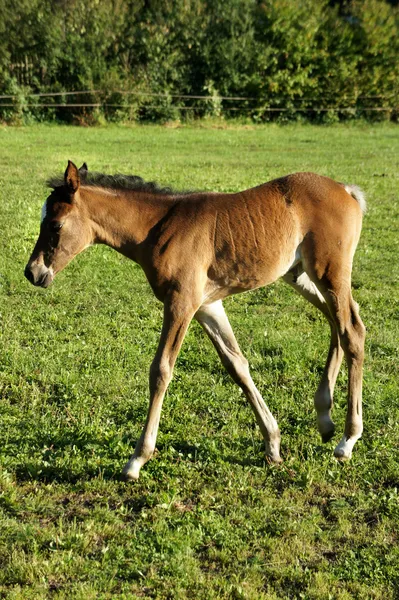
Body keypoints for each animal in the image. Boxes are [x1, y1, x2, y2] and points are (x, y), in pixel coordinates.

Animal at [25, 162, 368, 480]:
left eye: (55, 224)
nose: (33, 272)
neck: (157, 227)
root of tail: (345, 189)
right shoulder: (208, 306)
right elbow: (237, 365)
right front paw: (272, 443)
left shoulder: (181, 303)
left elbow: (161, 371)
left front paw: (137, 459)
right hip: (299, 275)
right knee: (336, 322)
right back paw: (325, 418)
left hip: (329, 273)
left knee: (352, 330)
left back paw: (347, 440)